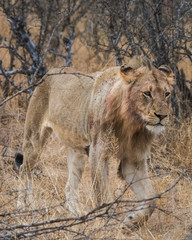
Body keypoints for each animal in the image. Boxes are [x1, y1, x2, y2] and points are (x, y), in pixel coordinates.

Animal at [14, 55, 174, 231]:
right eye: (147, 93)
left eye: (167, 94)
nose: (162, 116)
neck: (132, 123)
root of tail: (49, 72)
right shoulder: (98, 152)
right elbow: (103, 196)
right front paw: (107, 225)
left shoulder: (133, 159)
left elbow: (151, 199)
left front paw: (131, 222)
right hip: (33, 139)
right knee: (24, 172)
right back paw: (24, 208)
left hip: (77, 152)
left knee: (69, 187)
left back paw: (78, 216)